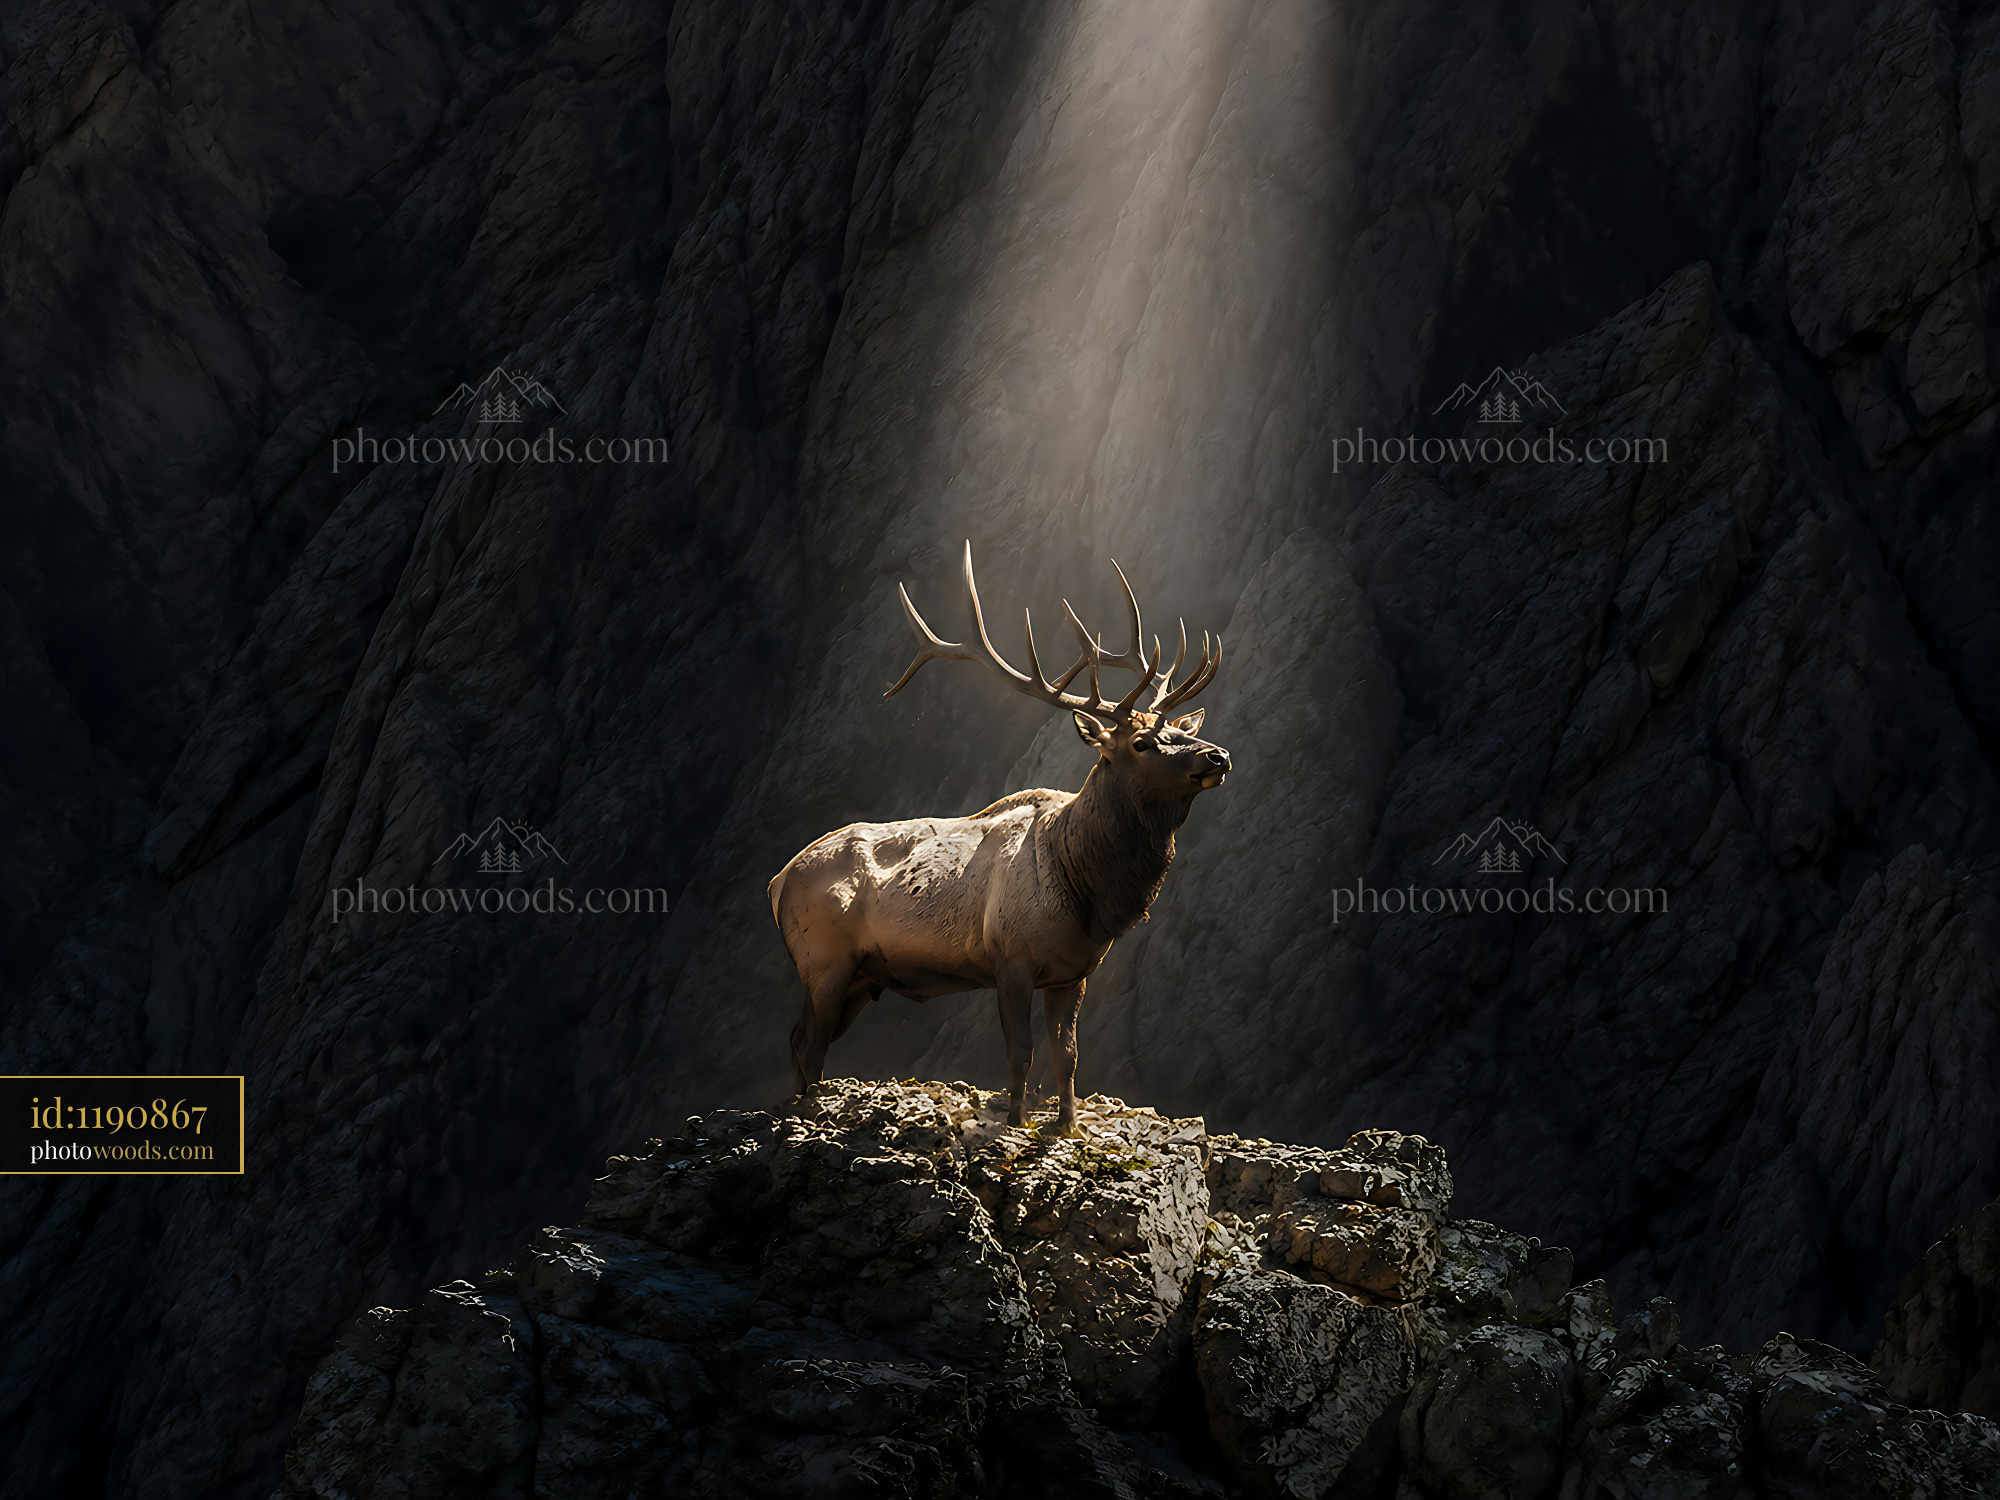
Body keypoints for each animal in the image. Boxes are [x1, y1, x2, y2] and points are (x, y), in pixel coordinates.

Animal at [767, 541, 1231, 1133]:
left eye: (1179, 729)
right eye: (1144, 742)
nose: (1217, 755)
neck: (1089, 891)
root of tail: (778, 881)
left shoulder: (1073, 973)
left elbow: (1068, 1055)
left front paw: (1066, 1125)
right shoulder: (1011, 956)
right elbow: (1021, 1052)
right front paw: (1014, 1122)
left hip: (859, 979)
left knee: (799, 1040)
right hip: (823, 958)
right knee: (809, 1044)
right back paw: (805, 1115)